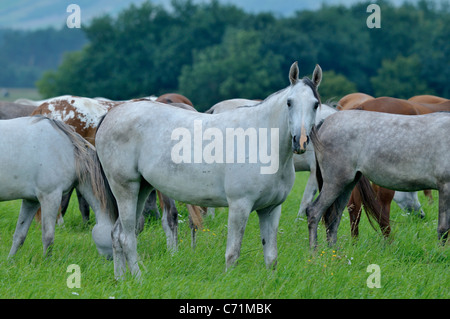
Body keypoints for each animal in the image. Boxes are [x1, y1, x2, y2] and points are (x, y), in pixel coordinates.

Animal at [0, 117, 116, 260]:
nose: (111, 260)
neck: (68, 149)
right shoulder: (51, 197)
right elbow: (48, 237)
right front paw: (46, 261)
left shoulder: (31, 201)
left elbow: (19, 235)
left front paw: (10, 261)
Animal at [96, 62, 324, 280]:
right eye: (289, 102)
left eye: (315, 104)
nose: (300, 141)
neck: (262, 141)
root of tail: (111, 114)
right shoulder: (239, 206)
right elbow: (233, 253)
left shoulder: (271, 209)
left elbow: (271, 256)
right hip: (126, 189)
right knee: (126, 237)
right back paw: (138, 279)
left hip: (142, 189)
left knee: (117, 234)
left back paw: (121, 280)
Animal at [310, 111, 450, 249]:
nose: (420, 215)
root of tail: (325, 122)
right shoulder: (445, 186)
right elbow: (444, 228)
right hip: (335, 183)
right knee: (313, 212)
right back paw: (314, 252)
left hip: (347, 185)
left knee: (333, 218)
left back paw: (333, 252)